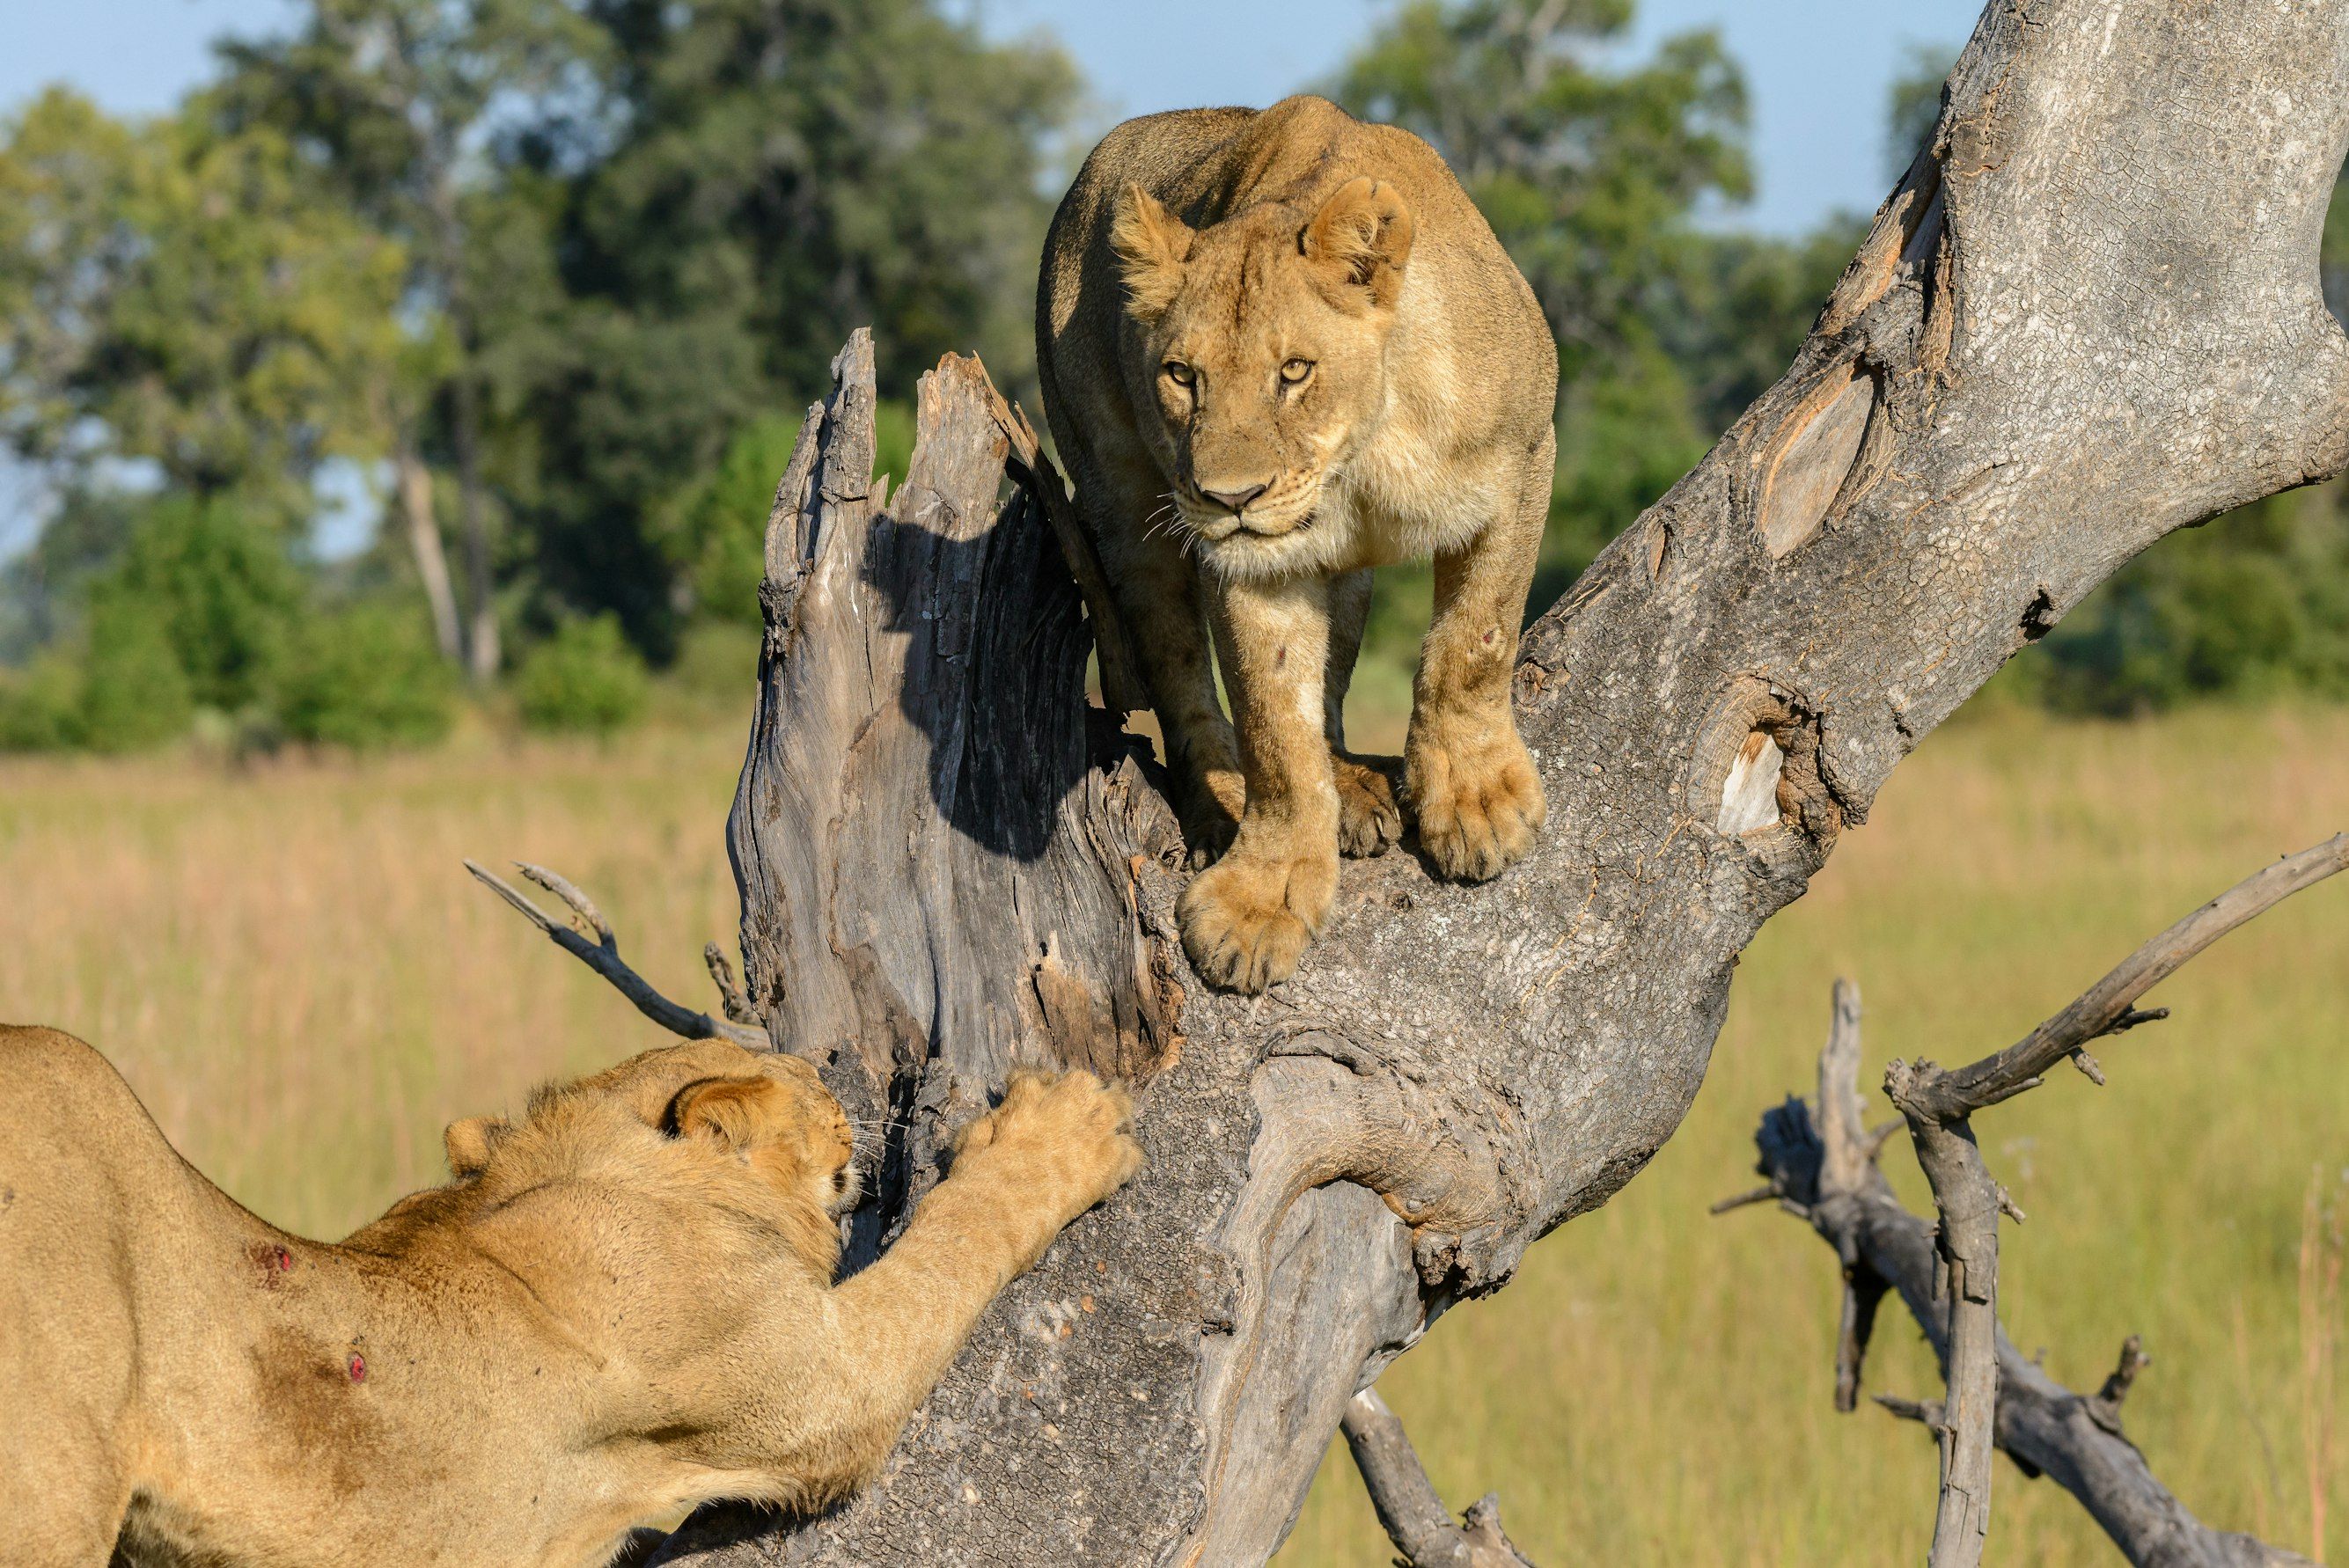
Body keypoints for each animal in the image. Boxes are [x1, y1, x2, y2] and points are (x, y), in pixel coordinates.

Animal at [1033, 92, 1560, 990]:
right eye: (1182, 375)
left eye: (1294, 371)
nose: (1228, 498)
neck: (1360, 451)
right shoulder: (1251, 566)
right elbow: (1274, 727)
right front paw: (1259, 898)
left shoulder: (1524, 457)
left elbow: (1474, 640)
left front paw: (1476, 802)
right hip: (1120, 497)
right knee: (1179, 672)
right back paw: (1225, 807)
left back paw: (1351, 785)